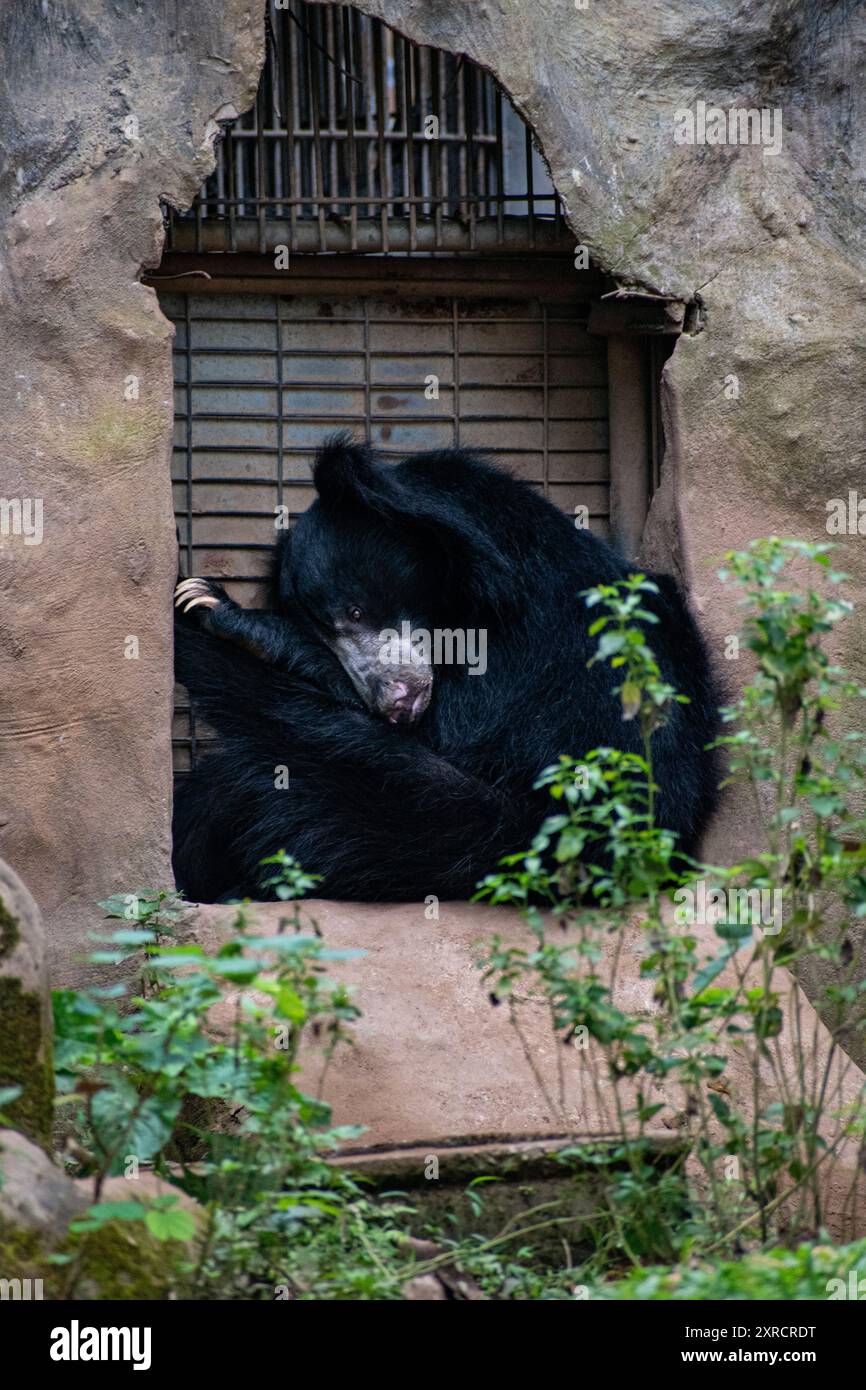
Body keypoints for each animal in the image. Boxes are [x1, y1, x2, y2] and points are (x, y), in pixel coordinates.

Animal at [173, 433, 722, 900]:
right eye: (327, 629)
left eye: (354, 611)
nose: (391, 700)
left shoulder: (520, 651)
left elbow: (450, 736)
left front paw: (218, 609)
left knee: (252, 775)